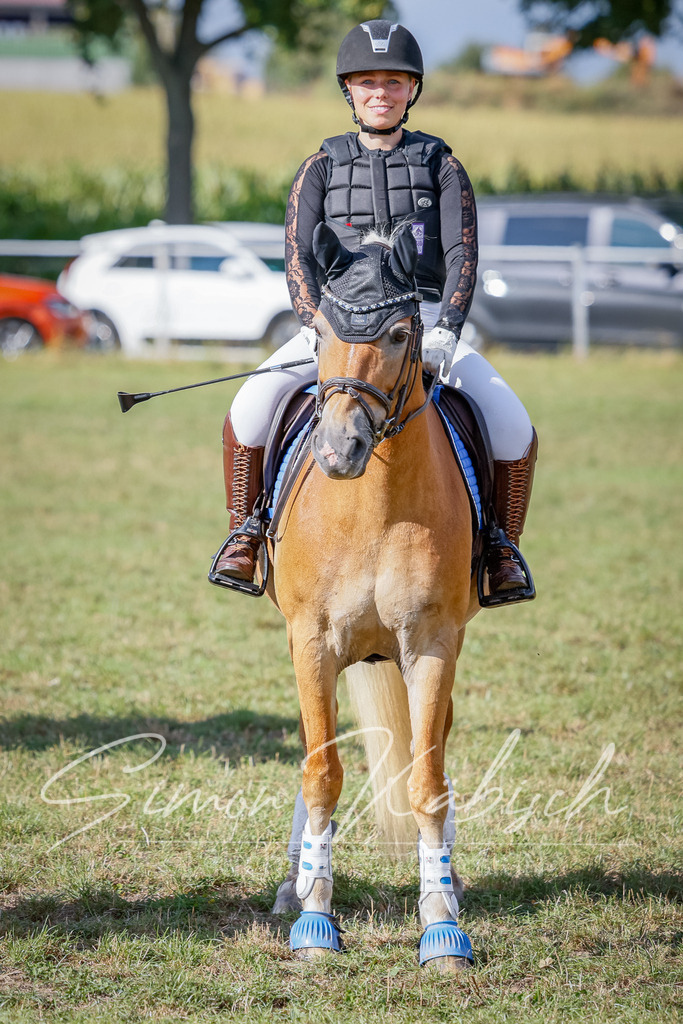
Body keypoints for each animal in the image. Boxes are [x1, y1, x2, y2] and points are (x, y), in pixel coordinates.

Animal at [266, 222, 481, 970]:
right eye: (321, 332)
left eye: (397, 333)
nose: (337, 450)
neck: (373, 506)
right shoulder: (310, 640)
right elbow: (321, 773)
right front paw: (315, 920)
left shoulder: (433, 645)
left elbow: (427, 783)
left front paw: (441, 924)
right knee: (312, 753)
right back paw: (294, 884)